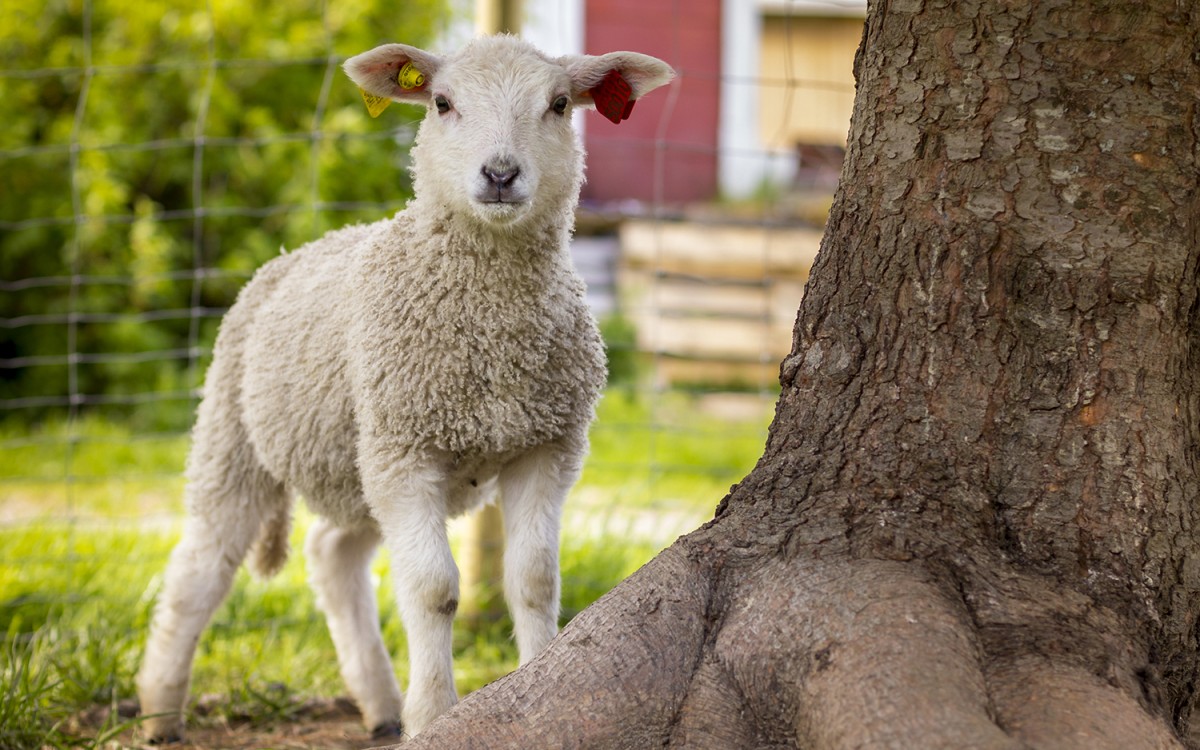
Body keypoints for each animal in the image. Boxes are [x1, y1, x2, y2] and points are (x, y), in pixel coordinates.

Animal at [135, 32, 676, 739]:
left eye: (559, 104)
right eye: (442, 103)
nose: (500, 174)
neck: (493, 331)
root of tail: (289, 255)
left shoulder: (546, 446)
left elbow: (533, 580)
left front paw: (530, 685)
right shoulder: (407, 451)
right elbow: (433, 590)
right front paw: (433, 715)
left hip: (356, 457)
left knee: (332, 554)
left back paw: (380, 704)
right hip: (240, 434)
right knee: (200, 567)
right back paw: (160, 707)